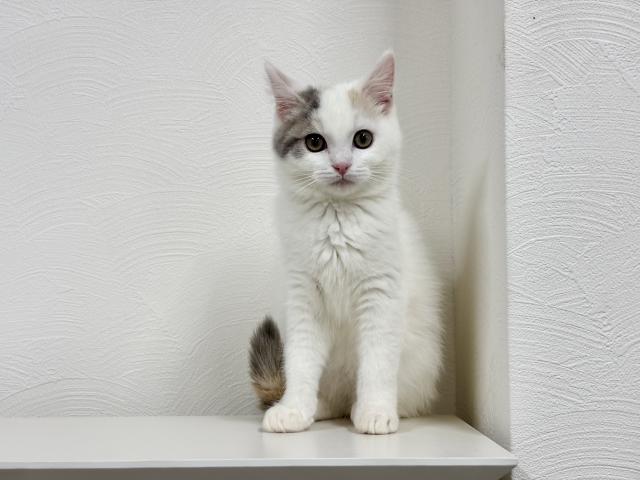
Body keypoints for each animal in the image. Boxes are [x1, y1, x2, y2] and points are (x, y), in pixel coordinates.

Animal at [249, 51, 442, 435]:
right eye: (314, 143)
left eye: (363, 139)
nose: (341, 165)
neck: (337, 219)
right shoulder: (302, 297)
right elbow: (301, 359)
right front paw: (293, 409)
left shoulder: (382, 294)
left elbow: (378, 361)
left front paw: (376, 412)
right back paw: (318, 406)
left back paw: (367, 408)